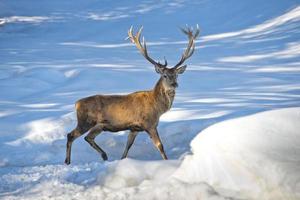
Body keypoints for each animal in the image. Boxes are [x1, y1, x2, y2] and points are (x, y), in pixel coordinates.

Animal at [64, 25, 199, 165]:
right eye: (164, 75)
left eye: (176, 75)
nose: (174, 84)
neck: (157, 107)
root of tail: (76, 104)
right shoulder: (149, 124)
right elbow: (160, 146)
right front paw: (167, 162)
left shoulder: (134, 128)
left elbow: (128, 146)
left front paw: (122, 160)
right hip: (85, 121)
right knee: (71, 135)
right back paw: (68, 161)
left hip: (99, 126)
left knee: (88, 138)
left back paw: (104, 155)